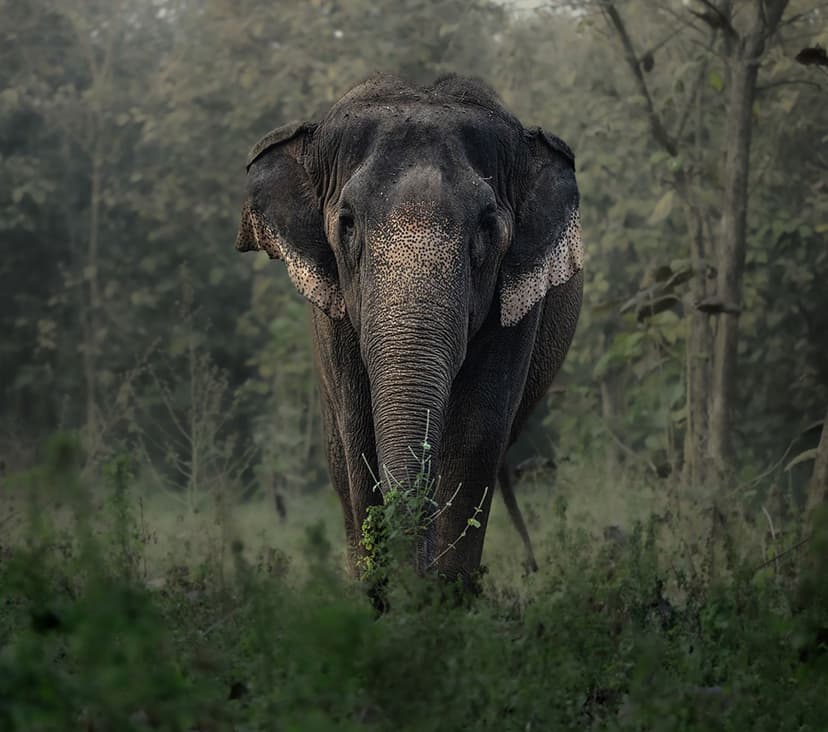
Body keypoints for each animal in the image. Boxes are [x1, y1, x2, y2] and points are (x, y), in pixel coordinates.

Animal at [235, 74, 583, 579]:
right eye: (346, 224)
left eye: (488, 227)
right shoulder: (334, 315)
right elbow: (359, 435)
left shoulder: (517, 309)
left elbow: (475, 436)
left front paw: (441, 591)